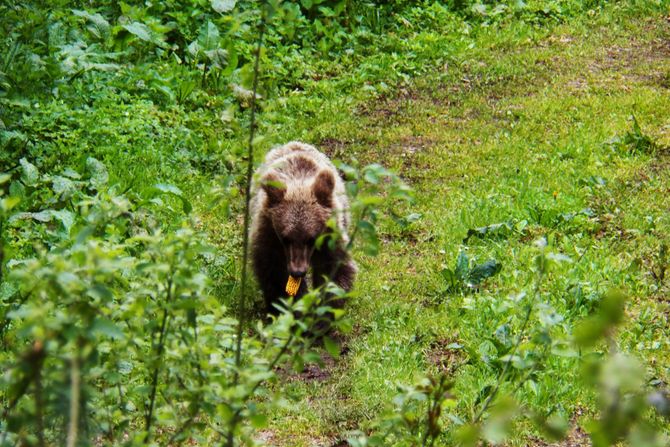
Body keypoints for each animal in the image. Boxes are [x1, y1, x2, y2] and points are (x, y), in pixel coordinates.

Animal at [251, 142, 356, 314]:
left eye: (311, 238)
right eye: (285, 238)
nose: (297, 271)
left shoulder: (330, 236)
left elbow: (334, 270)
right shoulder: (269, 233)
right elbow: (273, 272)